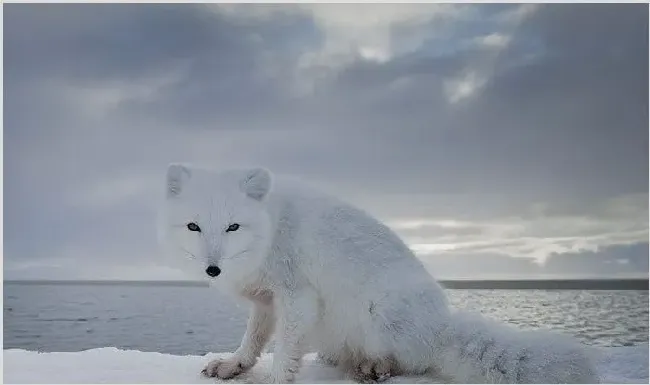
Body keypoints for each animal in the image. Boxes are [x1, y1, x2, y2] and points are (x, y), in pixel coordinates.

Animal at [158, 164, 596, 382]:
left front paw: (279, 378)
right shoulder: (267, 301)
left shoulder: (297, 297)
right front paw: (235, 365)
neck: (271, 230)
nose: (213, 268)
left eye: (233, 227)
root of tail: (440, 325)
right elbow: (253, 340)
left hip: (382, 314)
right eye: (194, 227)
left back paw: (376, 368)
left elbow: (284, 352)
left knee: (416, 362)